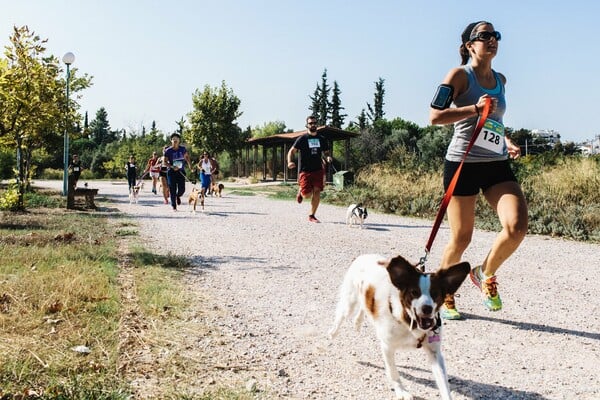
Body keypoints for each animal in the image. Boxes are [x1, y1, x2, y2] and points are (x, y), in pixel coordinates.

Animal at [330, 255, 472, 398]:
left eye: (435, 293)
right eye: (414, 292)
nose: (427, 308)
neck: (409, 322)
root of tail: (364, 256)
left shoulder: (435, 352)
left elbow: (443, 383)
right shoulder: (387, 346)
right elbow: (393, 372)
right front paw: (401, 391)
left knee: (363, 307)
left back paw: (357, 322)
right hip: (348, 303)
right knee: (340, 317)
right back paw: (332, 333)